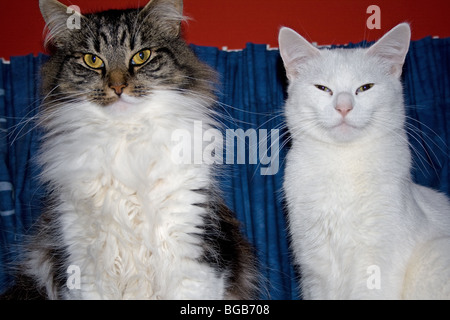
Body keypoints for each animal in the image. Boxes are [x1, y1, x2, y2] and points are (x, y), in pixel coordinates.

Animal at [1, 0, 258, 300]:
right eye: (92, 60)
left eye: (141, 56)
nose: (117, 86)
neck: (124, 137)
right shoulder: (79, 263)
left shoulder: (194, 252)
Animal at [278, 23, 450, 300]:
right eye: (322, 88)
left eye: (365, 87)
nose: (344, 107)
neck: (342, 164)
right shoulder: (315, 270)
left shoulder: (376, 266)